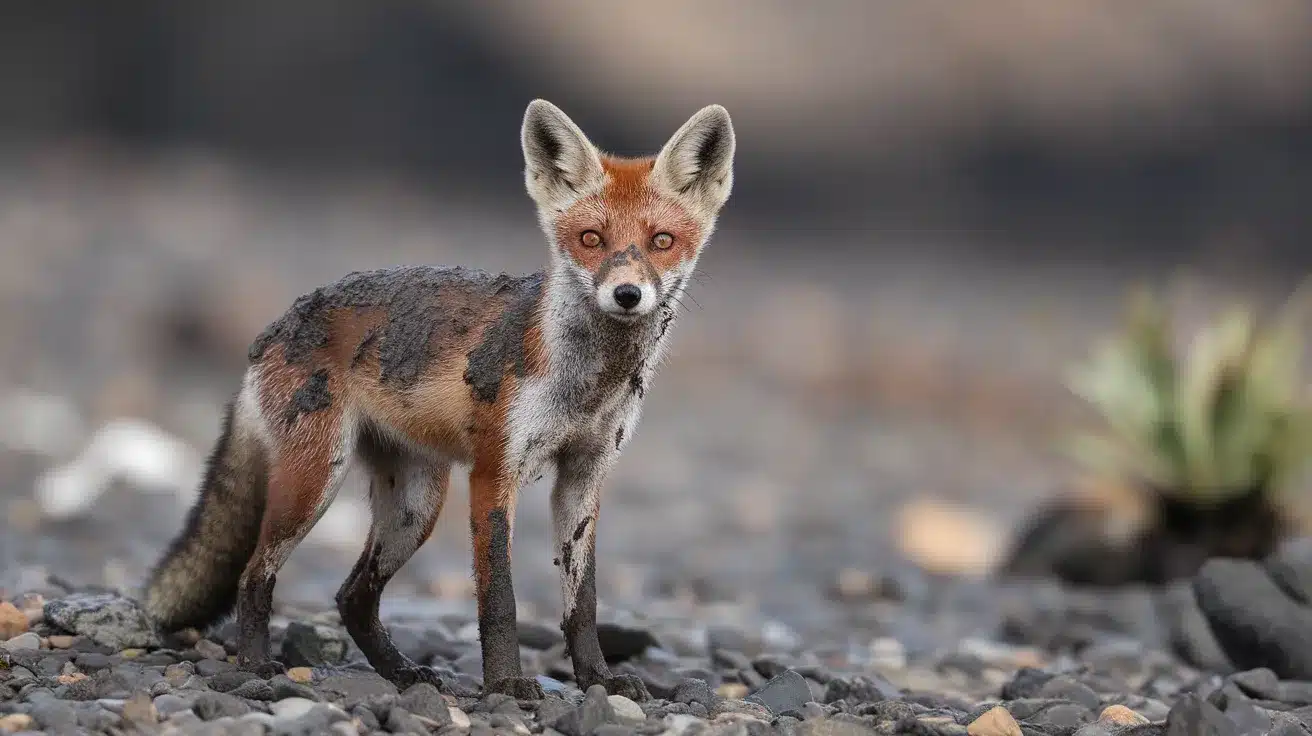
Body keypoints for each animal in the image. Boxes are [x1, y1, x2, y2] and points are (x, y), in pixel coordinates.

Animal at [144, 99, 739, 697]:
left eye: (662, 241)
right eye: (591, 239)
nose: (627, 294)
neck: (587, 385)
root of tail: (273, 327)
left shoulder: (583, 479)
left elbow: (583, 604)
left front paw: (598, 678)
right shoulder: (493, 473)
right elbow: (499, 599)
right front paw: (506, 685)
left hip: (415, 509)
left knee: (352, 597)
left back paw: (402, 673)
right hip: (316, 482)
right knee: (254, 574)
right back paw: (254, 667)